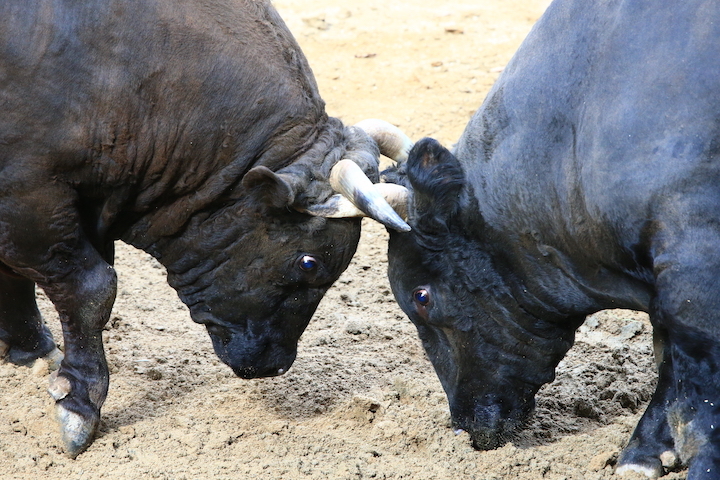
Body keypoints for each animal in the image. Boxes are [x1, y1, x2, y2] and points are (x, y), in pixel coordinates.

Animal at [0, 0, 410, 458]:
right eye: (308, 262)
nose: (275, 364)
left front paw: (29, 348)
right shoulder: (28, 197)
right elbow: (91, 289)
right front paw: (79, 403)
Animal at [386, 0, 720, 478]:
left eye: (421, 296)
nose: (463, 425)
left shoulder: (694, 248)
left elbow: (697, 383)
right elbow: (669, 356)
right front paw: (645, 451)